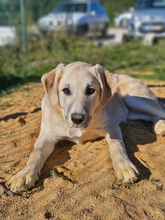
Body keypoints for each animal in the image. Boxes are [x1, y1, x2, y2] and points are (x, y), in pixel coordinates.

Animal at [8, 61, 165, 192]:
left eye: (90, 90)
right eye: (66, 90)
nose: (77, 119)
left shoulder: (111, 126)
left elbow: (117, 146)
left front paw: (124, 166)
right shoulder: (47, 135)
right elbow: (36, 153)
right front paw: (24, 174)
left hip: (136, 99)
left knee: (160, 109)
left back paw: (161, 126)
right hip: (132, 110)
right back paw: (159, 127)